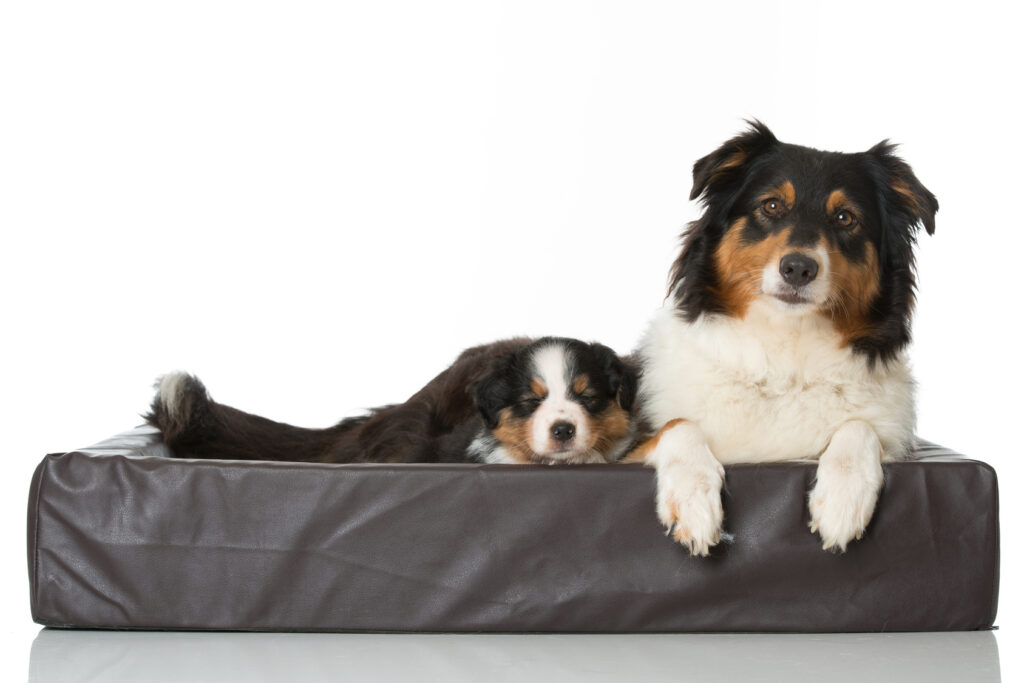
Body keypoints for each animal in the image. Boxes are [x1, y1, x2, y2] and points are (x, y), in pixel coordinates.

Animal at [634, 122, 937, 557]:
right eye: (772, 206)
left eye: (845, 218)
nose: (798, 268)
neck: (786, 353)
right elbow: (678, 425)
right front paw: (693, 501)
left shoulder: (890, 434)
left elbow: (858, 427)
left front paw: (843, 499)